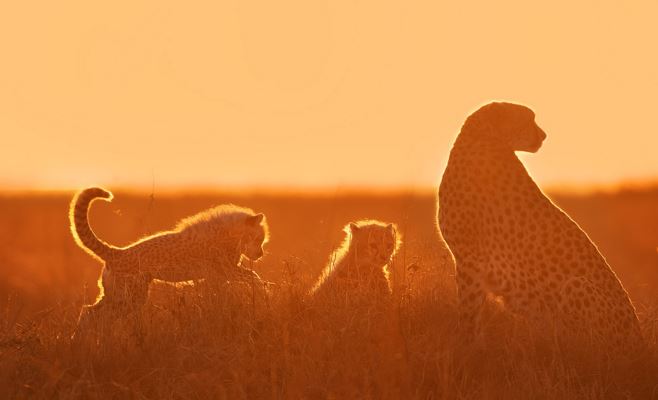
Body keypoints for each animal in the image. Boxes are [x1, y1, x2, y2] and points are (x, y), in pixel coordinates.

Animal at [70, 188, 270, 338]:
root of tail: (116, 252)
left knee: (88, 311)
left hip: (117, 295)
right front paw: (263, 291)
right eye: (258, 238)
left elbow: (225, 288)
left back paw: (81, 341)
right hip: (129, 298)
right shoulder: (225, 270)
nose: (260, 254)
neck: (231, 234)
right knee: (98, 315)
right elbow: (252, 275)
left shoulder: (218, 275)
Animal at [436, 102, 640, 354]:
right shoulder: (472, 262)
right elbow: (472, 311)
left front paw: (465, 347)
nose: (543, 135)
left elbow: (468, 310)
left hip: (576, 286)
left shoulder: (470, 260)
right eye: (528, 119)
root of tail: (640, 341)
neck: (486, 138)